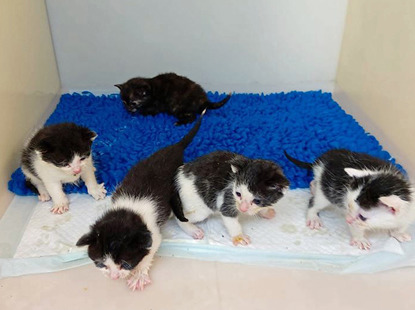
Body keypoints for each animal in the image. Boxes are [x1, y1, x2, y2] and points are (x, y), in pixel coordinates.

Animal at [77, 112, 206, 292]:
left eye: (125, 263)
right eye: (101, 264)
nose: (114, 276)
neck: (126, 212)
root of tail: (174, 148)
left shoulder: (153, 233)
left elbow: (149, 252)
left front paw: (138, 275)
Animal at [286, 149, 415, 251]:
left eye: (362, 217)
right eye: (348, 206)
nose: (347, 219)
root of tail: (322, 161)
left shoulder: (410, 211)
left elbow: (403, 224)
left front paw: (399, 233)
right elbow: (356, 228)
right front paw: (360, 239)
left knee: (314, 182)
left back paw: (313, 186)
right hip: (327, 189)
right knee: (315, 202)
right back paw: (313, 217)